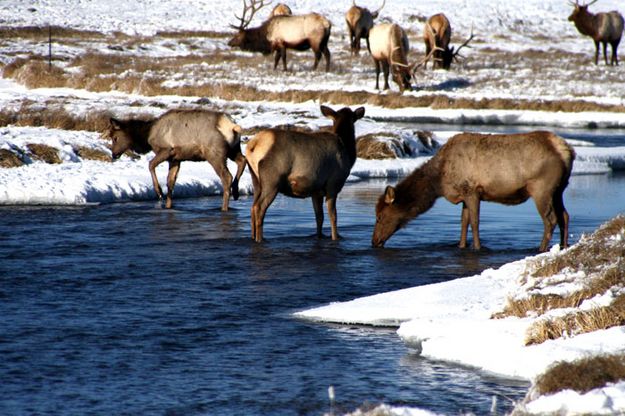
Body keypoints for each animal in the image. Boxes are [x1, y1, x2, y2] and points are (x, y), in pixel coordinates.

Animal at [106, 109, 245, 211]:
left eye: (115, 138)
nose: (114, 154)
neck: (147, 136)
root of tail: (232, 126)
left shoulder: (166, 150)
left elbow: (150, 165)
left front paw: (159, 192)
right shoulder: (175, 159)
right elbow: (170, 182)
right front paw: (168, 206)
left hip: (214, 153)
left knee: (226, 176)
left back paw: (224, 207)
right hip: (233, 149)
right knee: (242, 161)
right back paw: (236, 192)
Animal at [246, 105, 366, 240]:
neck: (347, 152)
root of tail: (253, 145)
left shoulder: (316, 191)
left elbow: (319, 217)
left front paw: (319, 236)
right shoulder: (333, 184)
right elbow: (333, 216)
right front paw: (335, 237)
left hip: (256, 180)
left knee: (253, 207)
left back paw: (253, 237)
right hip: (272, 180)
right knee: (259, 208)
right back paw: (260, 239)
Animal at [370, 132, 576, 252]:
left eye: (379, 216)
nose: (374, 241)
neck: (439, 181)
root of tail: (565, 150)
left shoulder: (472, 191)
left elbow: (475, 223)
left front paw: (477, 248)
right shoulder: (463, 195)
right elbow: (463, 223)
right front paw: (461, 246)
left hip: (541, 187)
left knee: (551, 219)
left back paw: (541, 249)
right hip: (560, 189)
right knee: (565, 216)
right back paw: (563, 246)